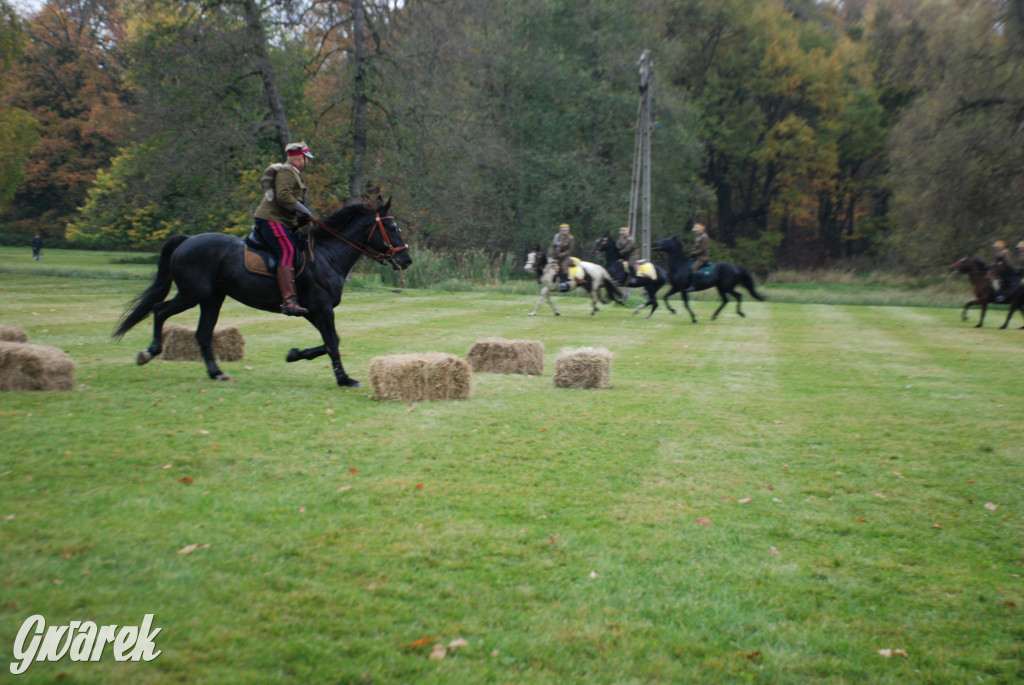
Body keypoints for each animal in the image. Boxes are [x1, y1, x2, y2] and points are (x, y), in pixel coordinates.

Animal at [114, 200, 409, 387]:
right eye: (393, 228)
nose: (406, 260)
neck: (327, 255)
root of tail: (187, 240)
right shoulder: (321, 309)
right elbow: (333, 342)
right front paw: (344, 379)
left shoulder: (313, 311)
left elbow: (328, 343)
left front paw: (294, 354)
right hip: (192, 294)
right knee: (159, 310)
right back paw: (150, 352)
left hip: (212, 299)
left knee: (203, 334)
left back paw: (216, 373)